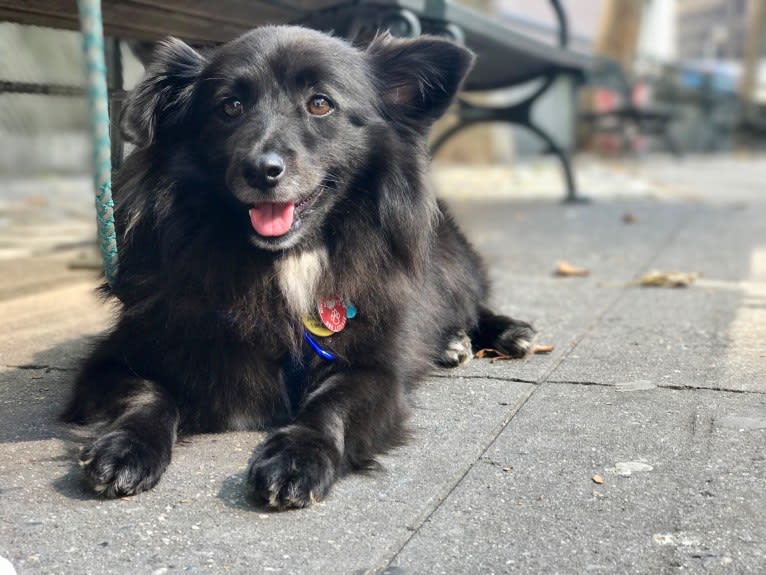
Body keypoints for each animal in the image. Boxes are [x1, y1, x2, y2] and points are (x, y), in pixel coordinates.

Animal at [63, 27, 536, 510]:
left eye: (320, 103)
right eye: (229, 106)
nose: (260, 170)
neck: (283, 261)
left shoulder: (375, 368)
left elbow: (332, 404)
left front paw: (297, 456)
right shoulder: (114, 359)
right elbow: (148, 392)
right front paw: (126, 447)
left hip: (452, 267)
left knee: (469, 304)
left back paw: (495, 333)